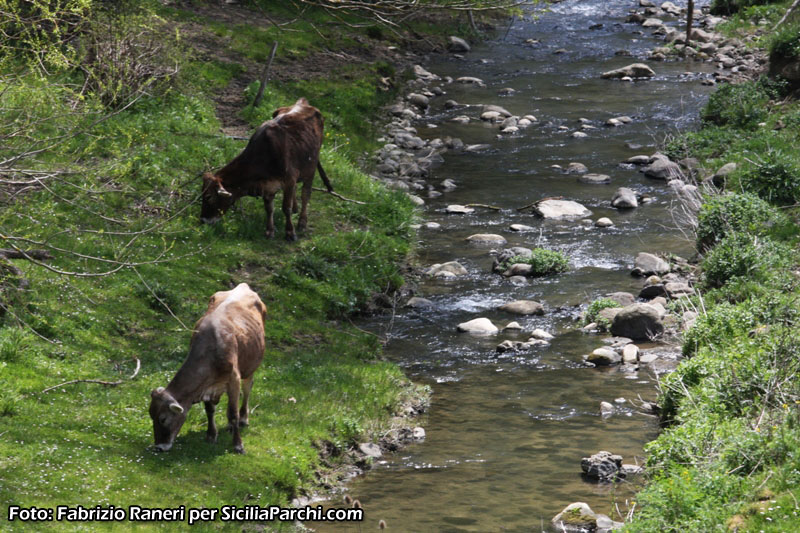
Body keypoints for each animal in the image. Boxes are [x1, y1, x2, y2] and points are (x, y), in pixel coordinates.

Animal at [147, 282, 266, 454]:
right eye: (151, 415)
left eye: (163, 419)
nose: (159, 447)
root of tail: (242, 285)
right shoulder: (209, 385)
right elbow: (210, 410)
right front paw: (211, 435)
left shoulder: (233, 379)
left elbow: (233, 413)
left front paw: (238, 445)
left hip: (251, 365)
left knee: (247, 389)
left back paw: (244, 419)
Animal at [203, 97, 338, 241]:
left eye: (209, 197)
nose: (202, 220)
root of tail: (303, 103)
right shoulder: (268, 186)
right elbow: (269, 208)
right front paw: (269, 231)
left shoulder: (289, 179)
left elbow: (286, 207)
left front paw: (290, 232)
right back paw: (296, 208)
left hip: (310, 168)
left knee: (305, 194)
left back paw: (302, 222)